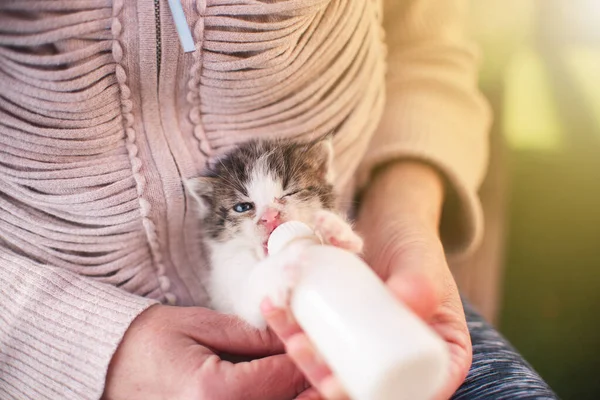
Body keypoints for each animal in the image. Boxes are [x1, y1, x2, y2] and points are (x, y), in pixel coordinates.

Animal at [185, 138, 360, 328]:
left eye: (290, 192)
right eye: (242, 207)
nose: (270, 216)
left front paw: (334, 231)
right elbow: (253, 294)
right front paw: (288, 258)